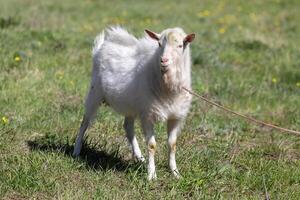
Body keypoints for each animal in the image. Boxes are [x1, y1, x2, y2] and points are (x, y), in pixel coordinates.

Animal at [73, 25, 196, 180]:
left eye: (180, 45)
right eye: (159, 44)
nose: (163, 60)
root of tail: (101, 47)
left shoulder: (175, 117)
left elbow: (172, 144)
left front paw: (175, 173)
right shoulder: (148, 115)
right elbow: (152, 145)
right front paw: (151, 175)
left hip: (130, 106)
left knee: (128, 127)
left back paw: (139, 157)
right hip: (94, 93)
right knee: (85, 122)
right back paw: (76, 151)